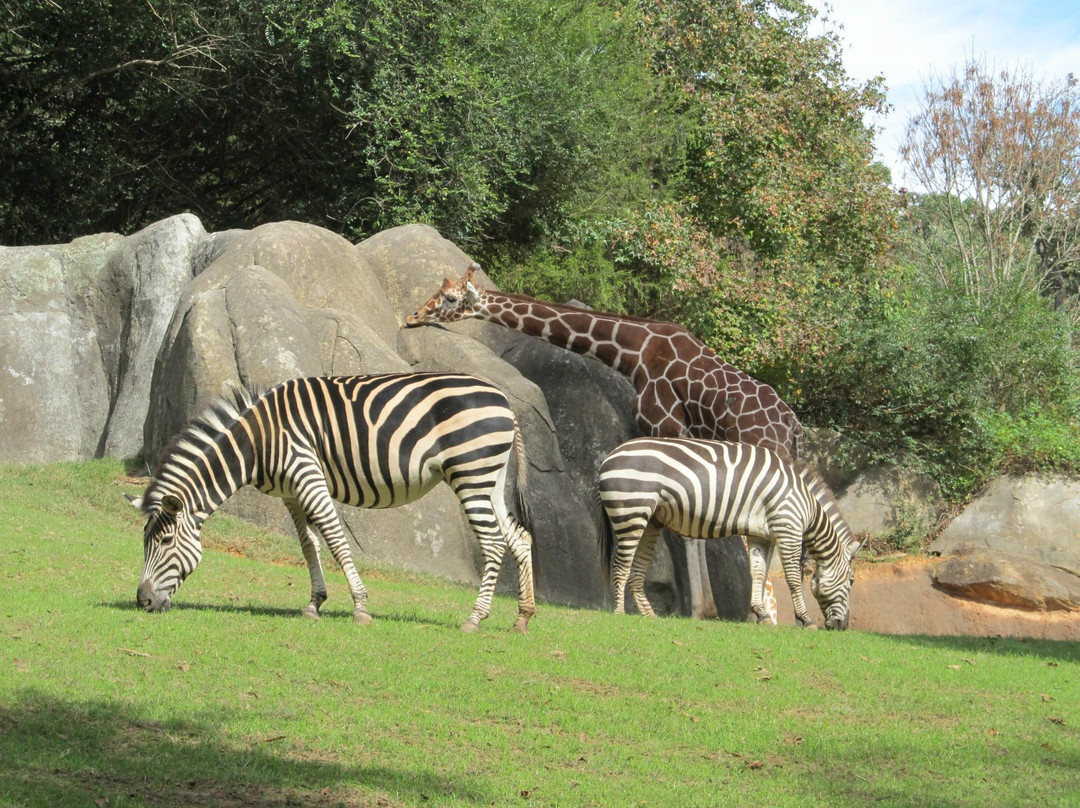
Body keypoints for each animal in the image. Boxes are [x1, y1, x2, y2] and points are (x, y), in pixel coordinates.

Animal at [127, 371, 540, 630]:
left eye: (165, 541)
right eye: (144, 542)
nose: (141, 603)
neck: (257, 442)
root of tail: (504, 401)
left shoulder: (306, 473)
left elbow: (337, 541)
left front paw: (360, 606)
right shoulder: (291, 493)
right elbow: (309, 545)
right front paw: (315, 603)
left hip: (471, 475)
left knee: (493, 544)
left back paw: (475, 618)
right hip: (490, 479)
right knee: (519, 539)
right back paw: (522, 617)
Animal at [403, 264, 803, 626]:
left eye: (449, 298)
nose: (412, 316)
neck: (635, 351)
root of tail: (794, 431)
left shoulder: (665, 422)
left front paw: (701, 610)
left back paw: (764, 615)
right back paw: (770, 615)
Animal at [596, 438, 855, 626]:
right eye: (851, 581)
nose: (842, 627)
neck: (806, 503)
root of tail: (607, 458)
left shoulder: (760, 535)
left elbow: (758, 572)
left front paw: (760, 614)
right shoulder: (786, 527)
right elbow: (792, 578)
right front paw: (805, 619)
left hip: (650, 521)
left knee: (636, 572)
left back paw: (650, 616)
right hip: (631, 513)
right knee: (620, 566)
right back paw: (619, 612)